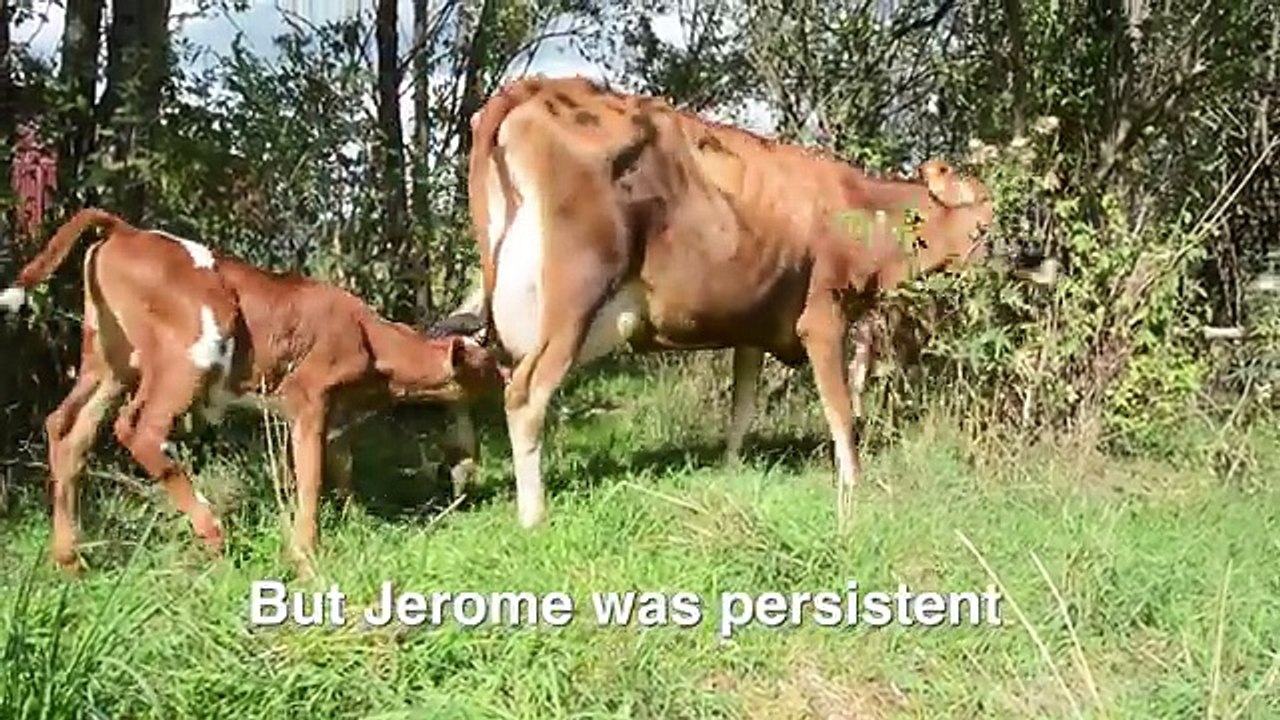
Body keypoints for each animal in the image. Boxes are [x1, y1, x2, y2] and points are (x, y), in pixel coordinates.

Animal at [0, 209, 505, 577]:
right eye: (489, 363)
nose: (508, 377)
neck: (369, 338)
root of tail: (126, 229)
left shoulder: (335, 414)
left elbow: (340, 467)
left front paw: (355, 518)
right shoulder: (307, 398)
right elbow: (310, 475)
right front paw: (306, 554)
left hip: (108, 363)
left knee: (67, 430)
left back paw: (70, 560)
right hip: (188, 355)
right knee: (138, 429)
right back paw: (211, 532)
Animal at [458, 74, 1047, 532]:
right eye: (989, 210)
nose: (1037, 253)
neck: (861, 213)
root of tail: (535, 88)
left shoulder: (752, 327)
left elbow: (742, 406)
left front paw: (729, 470)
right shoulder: (823, 317)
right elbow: (840, 409)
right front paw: (852, 484)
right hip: (574, 299)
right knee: (525, 396)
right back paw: (534, 515)